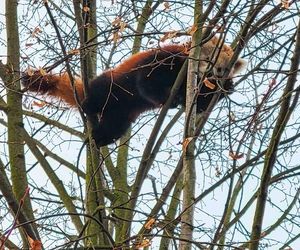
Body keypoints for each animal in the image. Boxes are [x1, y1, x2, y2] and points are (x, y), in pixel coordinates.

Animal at [21, 41, 246, 146]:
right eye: (209, 59)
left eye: (224, 68)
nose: (215, 73)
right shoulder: (164, 60)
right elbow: (146, 83)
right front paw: (168, 99)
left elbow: (199, 105)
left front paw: (227, 87)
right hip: (112, 84)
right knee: (100, 93)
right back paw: (88, 105)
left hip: (121, 115)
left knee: (115, 128)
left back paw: (99, 138)